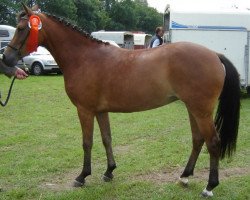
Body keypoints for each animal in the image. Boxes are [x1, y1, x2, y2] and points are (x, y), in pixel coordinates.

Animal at [2, 4, 240, 197]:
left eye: (21, 28)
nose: (6, 59)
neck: (84, 57)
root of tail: (214, 54)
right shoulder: (100, 110)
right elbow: (107, 138)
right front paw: (109, 172)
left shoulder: (84, 110)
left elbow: (87, 142)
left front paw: (82, 176)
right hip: (193, 108)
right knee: (198, 140)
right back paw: (184, 176)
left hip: (201, 110)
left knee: (213, 142)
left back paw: (209, 186)